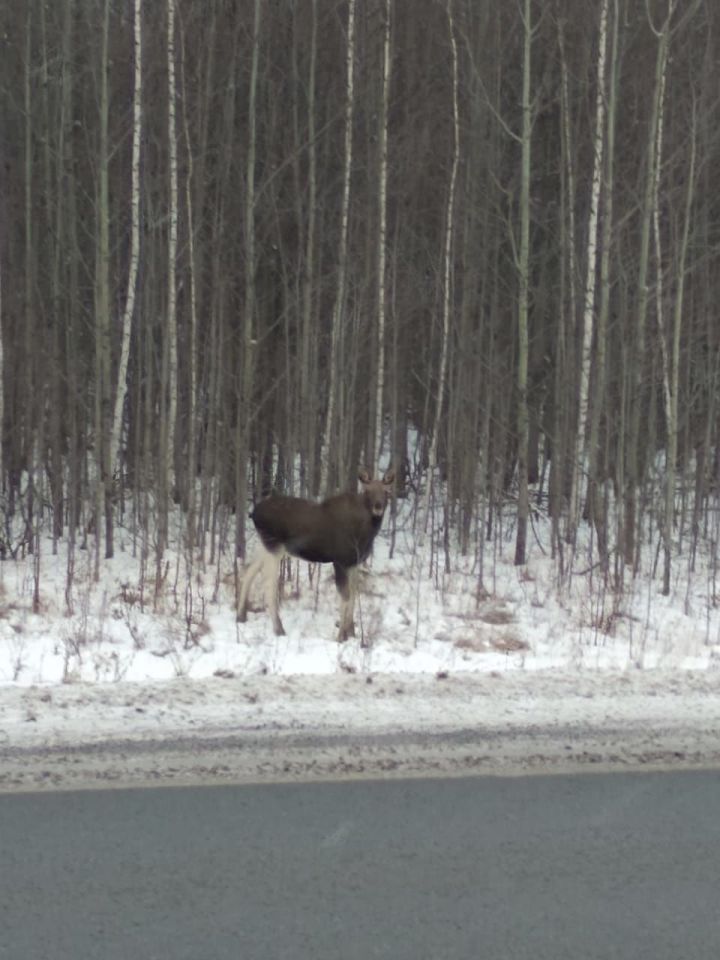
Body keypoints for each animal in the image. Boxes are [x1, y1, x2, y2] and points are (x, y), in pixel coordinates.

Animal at [236, 468, 394, 640]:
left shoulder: (353, 563)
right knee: (268, 584)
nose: (378, 507)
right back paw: (278, 628)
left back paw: (241, 615)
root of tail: (253, 513)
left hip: (265, 545)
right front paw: (341, 636)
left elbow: (353, 594)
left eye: (386, 492)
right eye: (368, 491)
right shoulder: (340, 561)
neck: (364, 534)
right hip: (274, 546)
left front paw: (351, 632)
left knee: (248, 571)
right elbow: (345, 595)